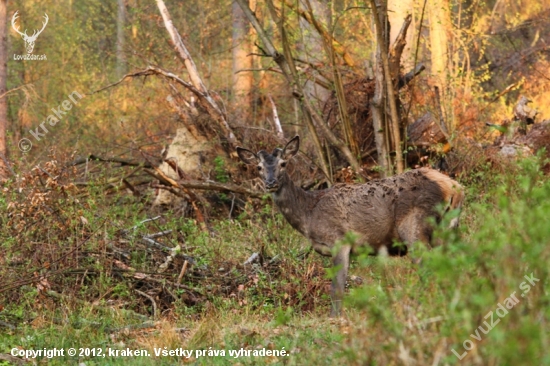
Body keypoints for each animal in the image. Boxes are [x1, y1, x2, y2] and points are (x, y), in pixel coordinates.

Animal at [237, 136, 466, 316]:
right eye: (258, 167)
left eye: (283, 163)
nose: (271, 183)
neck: (308, 215)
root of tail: (453, 187)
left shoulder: (339, 241)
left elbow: (337, 289)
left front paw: (335, 318)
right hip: (448, 230)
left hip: (414, 227)